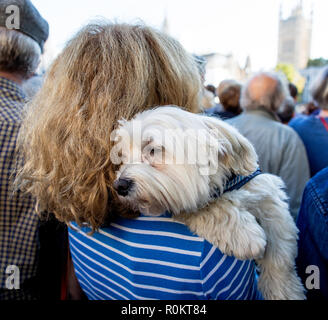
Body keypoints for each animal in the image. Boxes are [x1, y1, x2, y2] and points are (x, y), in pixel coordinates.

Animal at [111, 105, 306, 300]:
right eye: (123, 156)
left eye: (152, 150)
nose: (119, 185)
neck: (226, 187)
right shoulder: (183, 201)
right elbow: (206, 208)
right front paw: (241, 233)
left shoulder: (268, 198)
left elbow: (280, 256)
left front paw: (284, 291)